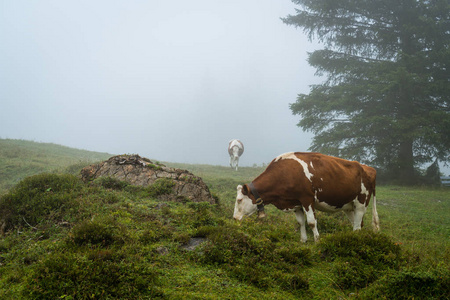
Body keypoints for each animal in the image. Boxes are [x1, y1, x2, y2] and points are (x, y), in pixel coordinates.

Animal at [236, 154, 380, 243]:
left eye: (239, 200)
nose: (235, 218)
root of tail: (369, 168)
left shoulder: (307, 199)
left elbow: (311, 222)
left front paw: (317, 240)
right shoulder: (295, 202)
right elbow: (300, 222)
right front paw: (303, 240)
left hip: (361, 202)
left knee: (357, 225)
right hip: (349, 206)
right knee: (357, 223)